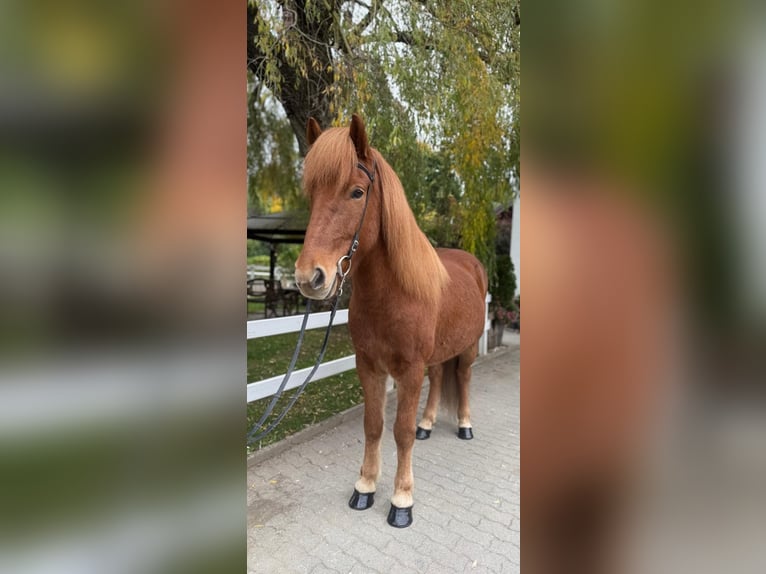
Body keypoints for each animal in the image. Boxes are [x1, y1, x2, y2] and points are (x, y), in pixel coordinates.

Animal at [294, 114, 488, 527]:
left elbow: (400, 432)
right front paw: (365, 487)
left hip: (466, 349)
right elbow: (373, 425)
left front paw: (402, 500)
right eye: (311, 194)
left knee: (462, 379)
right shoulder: (369, 366)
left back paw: (464, 426)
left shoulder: (409, 371)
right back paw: (427, 423)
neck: (394, 296)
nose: (309, 277)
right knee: (439, 379)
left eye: (356, 192)